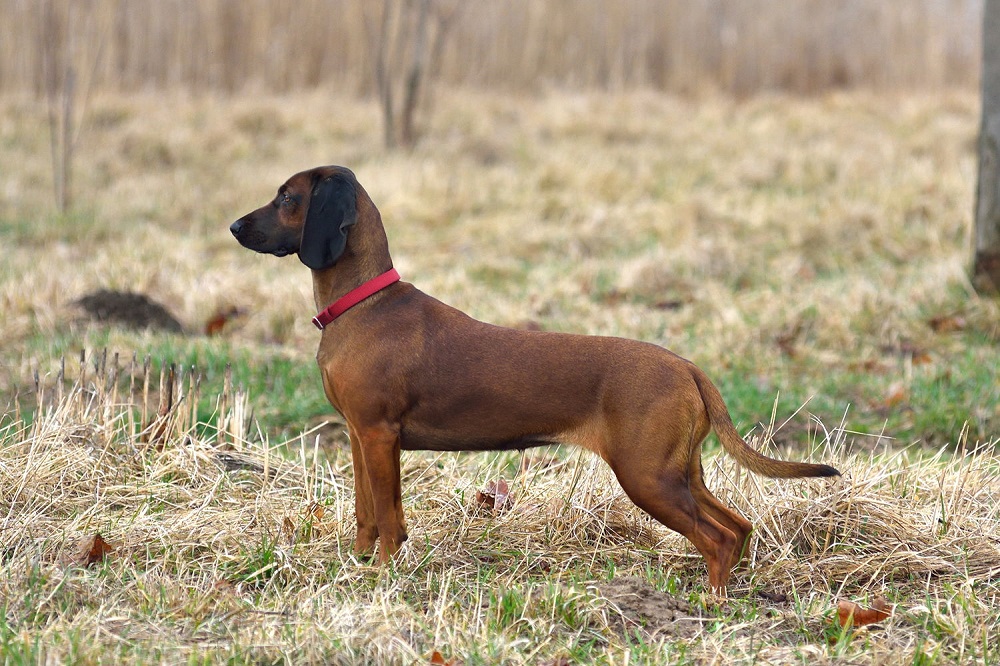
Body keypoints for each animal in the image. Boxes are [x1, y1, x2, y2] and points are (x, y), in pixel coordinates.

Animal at [230, 166, 840, 592]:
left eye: (287, 198)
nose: (234, 225)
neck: (363, 305)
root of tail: (684, 365)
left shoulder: (380, 437)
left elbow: (388, 516)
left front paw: (382, 574)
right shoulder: (360, 438)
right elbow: (365, 512)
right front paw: (360, 566)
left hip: (647, 478)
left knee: (717, 538)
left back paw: (710, 603)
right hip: (680, 473)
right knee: (737, 527)